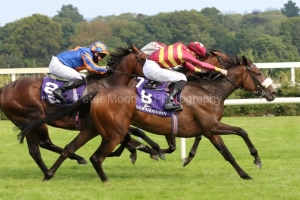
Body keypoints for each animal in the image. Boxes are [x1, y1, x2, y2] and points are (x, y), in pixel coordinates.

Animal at [18, 54, 276, 181]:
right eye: (258, 72)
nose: (273, 92)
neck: (209, 90)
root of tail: (97, 93)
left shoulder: (206, 129)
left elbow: (226, 152)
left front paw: (244, 173)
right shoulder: (212, 126)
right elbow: (240, 134)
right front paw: (255, 161)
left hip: (91, 129)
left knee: (69, 149)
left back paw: (49, 175)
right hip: (113, 132)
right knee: (97, 156)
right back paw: (107, 178)